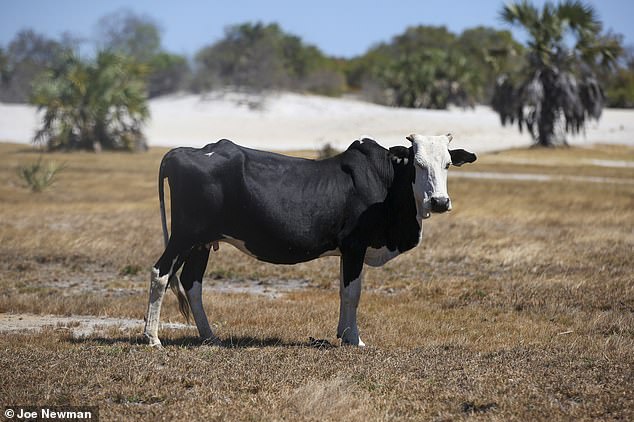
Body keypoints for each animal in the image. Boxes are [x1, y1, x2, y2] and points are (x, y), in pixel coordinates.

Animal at [142, 133, 474, 346]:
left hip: (202, 242)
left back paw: (209, 336)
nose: (439, 202)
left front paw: (343, 333)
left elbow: (343, 291)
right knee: (160, 273)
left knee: (192, 282)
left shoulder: (347, 252)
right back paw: (152, 337)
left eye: (447, 164)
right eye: (417, 163)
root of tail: (185, 151)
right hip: (184, 235)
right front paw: (354, 339)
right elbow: (353, 293)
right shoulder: (355, 245)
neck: (386, 183)